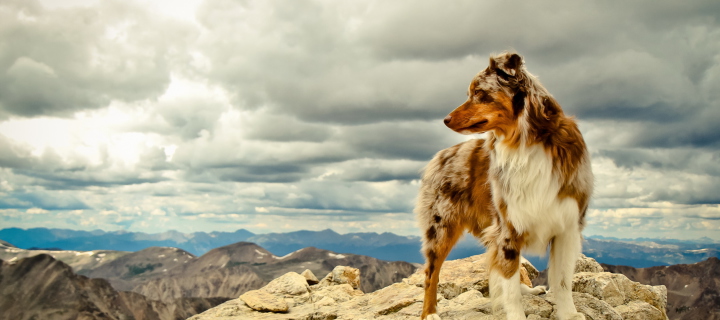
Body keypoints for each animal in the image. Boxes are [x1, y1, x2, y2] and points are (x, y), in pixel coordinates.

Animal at [416, 51, 592, 318]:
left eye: (478, 92)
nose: (445, 120)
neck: (526, 143)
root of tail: (440, 155)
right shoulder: (508, 227)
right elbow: (509, 287)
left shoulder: (567, 226)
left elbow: (562, 280)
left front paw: (569, 314)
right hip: (441, 228)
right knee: (431, 273)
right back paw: (430, 313)